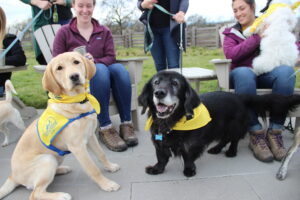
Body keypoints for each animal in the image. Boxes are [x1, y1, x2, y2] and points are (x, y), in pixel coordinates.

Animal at [0, 52, 119, 200]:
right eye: (59, 68)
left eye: (76, 62)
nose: (74, 76)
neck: (76, 102)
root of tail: (13, 176)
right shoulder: (78, 147)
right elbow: (93, 168)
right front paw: (107, 184)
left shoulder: (90, 136)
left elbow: (101, 154)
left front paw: (110, 166)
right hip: (47, 160)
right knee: (35, 193)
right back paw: (60, 195)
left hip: (56, 158)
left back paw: (62, 169)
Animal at [139, 71, 300, 177]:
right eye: (155, 82)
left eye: (175, 83)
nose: (159, 93)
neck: (172, 122)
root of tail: (239, 97)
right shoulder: (159, 143)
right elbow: (161, 158)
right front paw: (157, 169)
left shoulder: (192, 144)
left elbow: (188, 157)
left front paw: (189, 170)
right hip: (221, 127)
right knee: (224, 139)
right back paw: (216, 149)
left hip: (233, 126)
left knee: (233, 140)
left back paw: (231, 152)